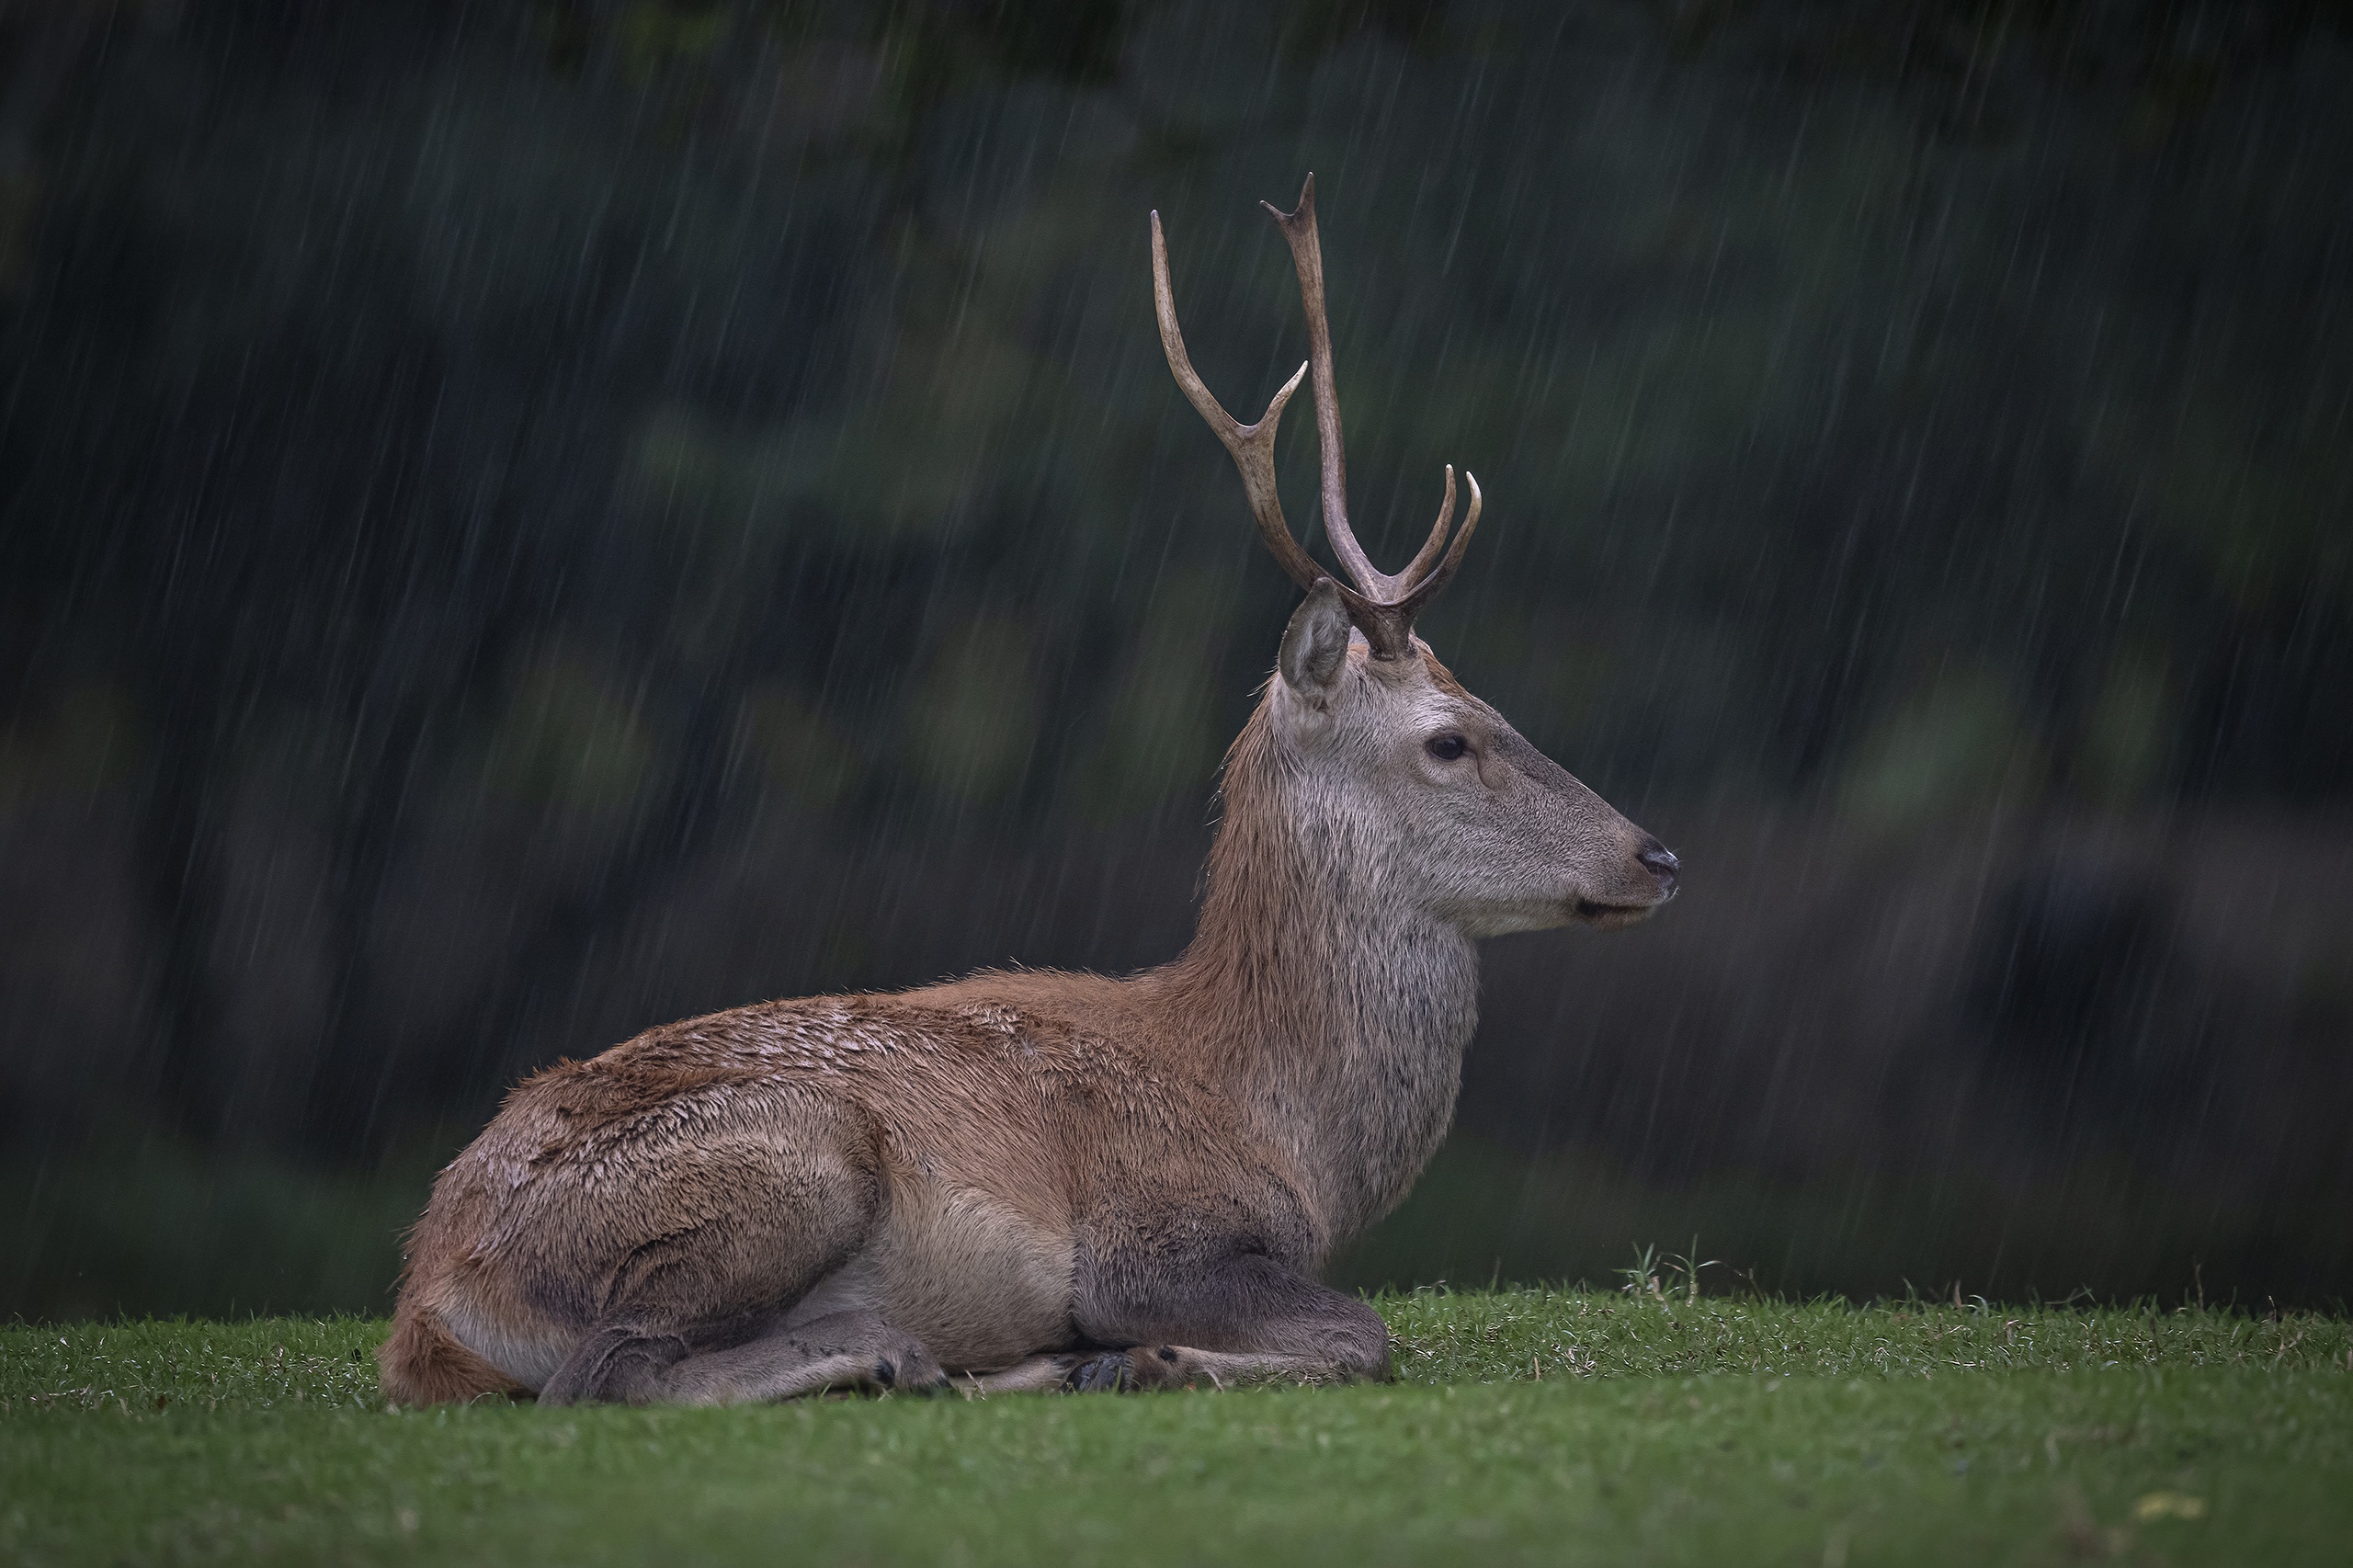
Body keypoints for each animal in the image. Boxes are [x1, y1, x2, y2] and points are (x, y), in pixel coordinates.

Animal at [381, 174, 1675, 1403]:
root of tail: (431, 1294)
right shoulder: (1150, 1233)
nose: (1654, 854)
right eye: (1450, 739)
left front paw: (1113, 1359)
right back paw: (916, 1355)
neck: (1282, 1130)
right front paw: (1148, 1356)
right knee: (612, 1370)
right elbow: (1366, 1332)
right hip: (788, 1155)